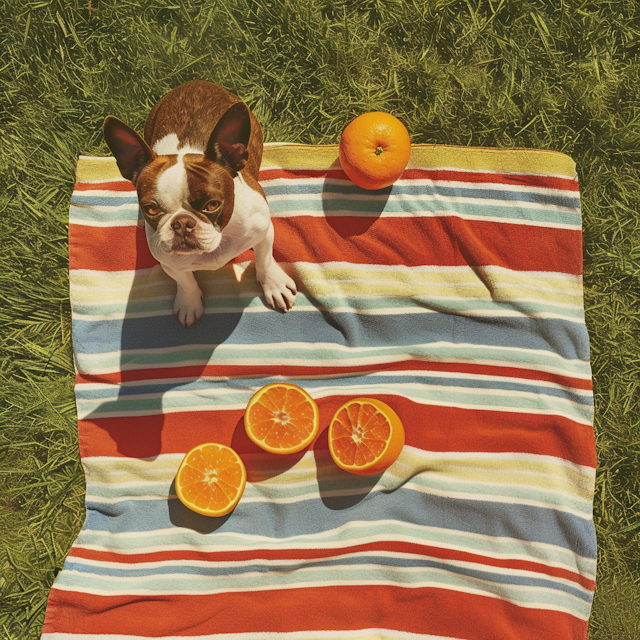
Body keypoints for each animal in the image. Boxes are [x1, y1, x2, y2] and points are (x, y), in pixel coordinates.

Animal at [103, 80, 298, 328]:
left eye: (212, 204)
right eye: (151, 209)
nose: (182, 223)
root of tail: (196, 83)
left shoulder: (263, 232)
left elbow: (265, 259)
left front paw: (273, 284)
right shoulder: (170, 263)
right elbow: (185, 281)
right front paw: (189, 303)